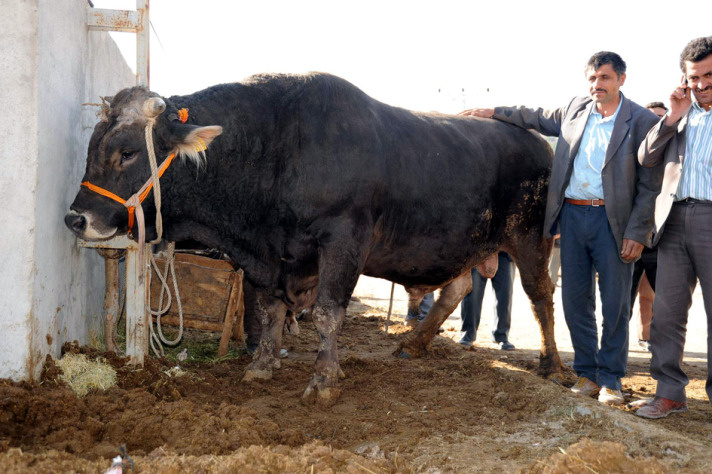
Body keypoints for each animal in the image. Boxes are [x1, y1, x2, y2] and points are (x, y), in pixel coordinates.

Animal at [68, 72, 568, 406]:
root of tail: (538, 143)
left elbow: (328, 313)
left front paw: (324, 378)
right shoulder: (274, 258)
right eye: (92, 146)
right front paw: (262, 365)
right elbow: (269, 310)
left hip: (530, 238)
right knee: (459, 287)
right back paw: (414, 343)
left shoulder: (343, 240)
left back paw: (553, 366)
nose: (76, 218)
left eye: (128, 151)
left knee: (540, 296)